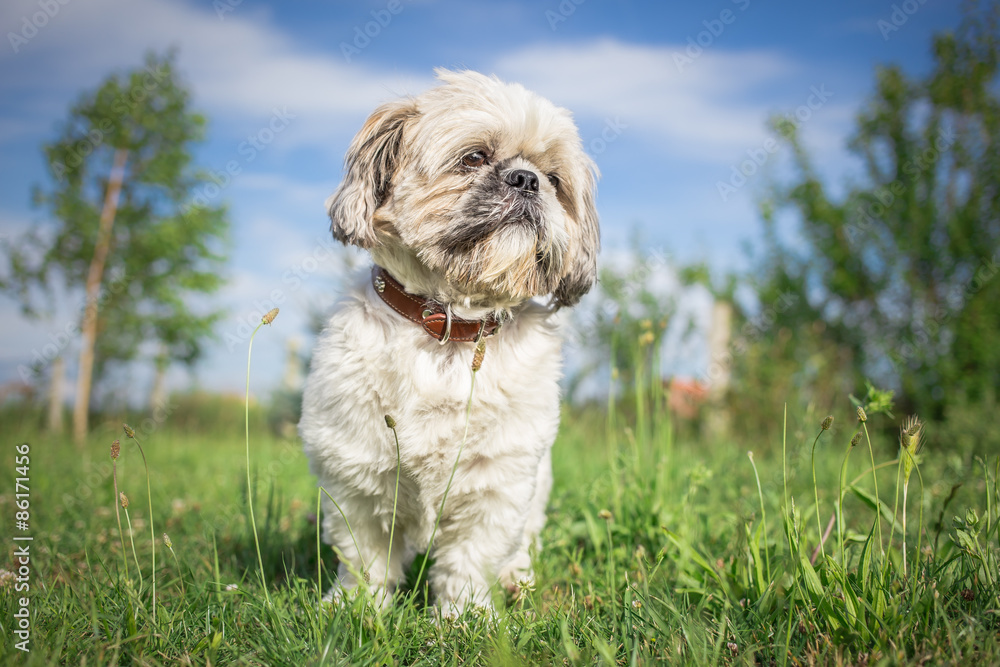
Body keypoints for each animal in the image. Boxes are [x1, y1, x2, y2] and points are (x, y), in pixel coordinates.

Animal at [298, 68, 600, 616]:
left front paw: (464, 617)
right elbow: (365, 555)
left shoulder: (497, 481)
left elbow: (469, 558)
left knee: (521, 546)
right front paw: (356, 609)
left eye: (555, 180)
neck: (450, 324)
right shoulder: (358, 474)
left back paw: (516, 581)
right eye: (474, 157)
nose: (527, 180)